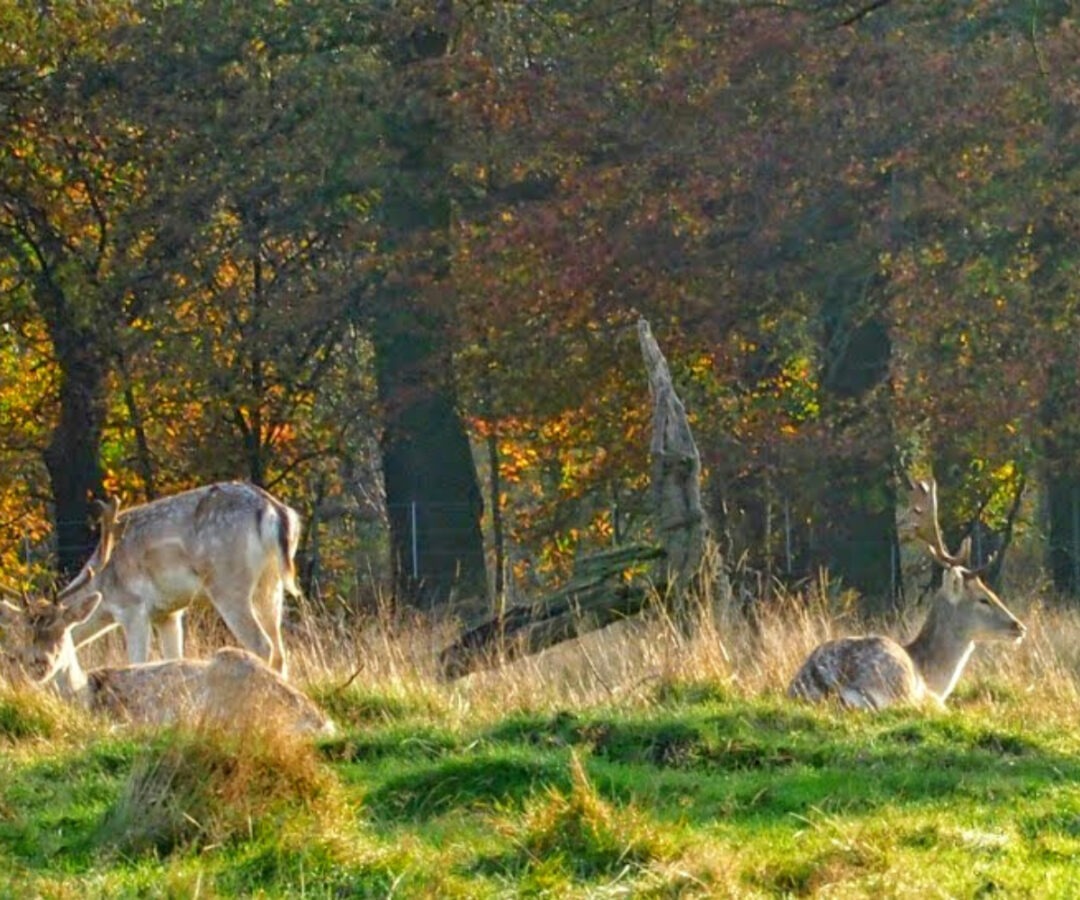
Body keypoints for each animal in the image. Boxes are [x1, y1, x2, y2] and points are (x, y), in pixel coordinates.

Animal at [59, 481, 300, 678]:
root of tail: (273, 510)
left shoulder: (133, 608)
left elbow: (137, 662)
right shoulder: (167, 614)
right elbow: (174, 659)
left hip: (228, 583)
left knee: (262, 645)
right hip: (271, 584)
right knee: (280, 652)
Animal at [786, 473, 1028, 713]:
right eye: (983, 599)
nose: (1019, 627)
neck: (931, 676)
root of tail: (822, 681)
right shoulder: (930, 698)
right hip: (898, 688)